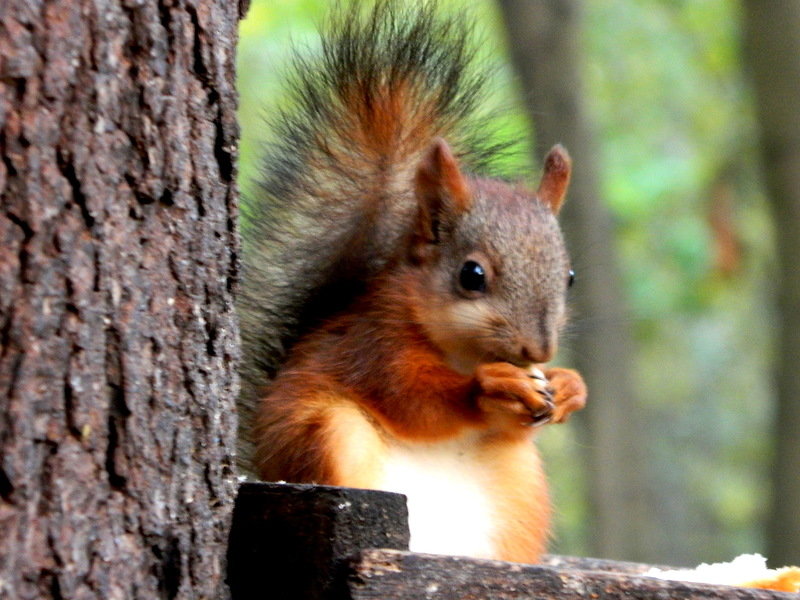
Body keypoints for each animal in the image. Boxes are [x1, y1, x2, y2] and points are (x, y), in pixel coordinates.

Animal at [238, 0, 588, 564]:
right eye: (472, 275)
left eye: (571, 276)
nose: (538, 351)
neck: (463, 349)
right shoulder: (374, 342)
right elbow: (411, 398)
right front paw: (491, 386)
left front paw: (569, 386)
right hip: (329, 436)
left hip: (522, 486)